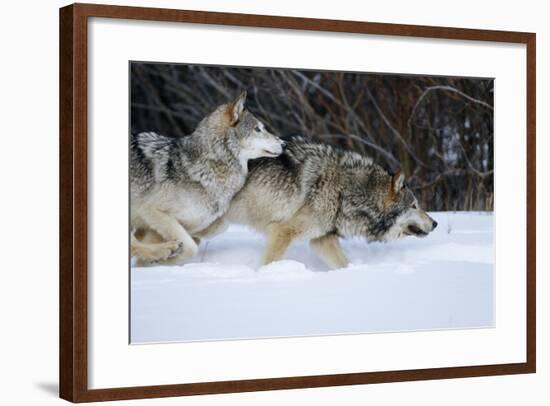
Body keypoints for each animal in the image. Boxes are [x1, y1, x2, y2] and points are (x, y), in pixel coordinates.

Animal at [131, 91, 286, 264]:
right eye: (257, 129)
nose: (284, 144)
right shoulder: (150, 210)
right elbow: (191, 248)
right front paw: (164, 263)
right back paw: (166, 250)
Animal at [203, 136, 440, 270]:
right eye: (414, 206)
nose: (436, 223)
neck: (345, 192)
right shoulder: (282, 231)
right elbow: (268, 262)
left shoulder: (322, 239)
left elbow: (343, 265)